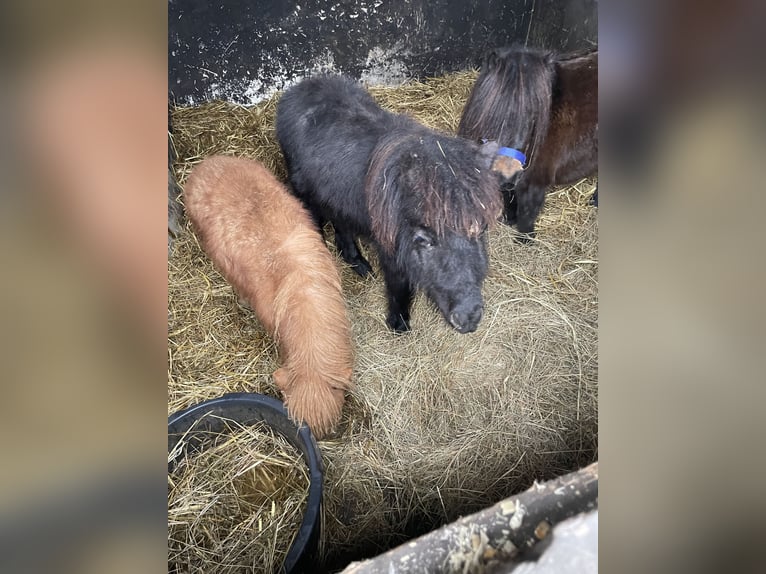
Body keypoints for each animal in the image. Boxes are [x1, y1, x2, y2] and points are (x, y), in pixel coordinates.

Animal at [276, 75, 504, 336]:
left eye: (481, 228)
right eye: (425, 240)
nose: (468, 318)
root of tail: (299, 89)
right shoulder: (390, 253)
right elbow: (399, 286)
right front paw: (400, 326)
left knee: (341, 226)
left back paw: (362, 267)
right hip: (302, 191)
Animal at [456, 45, 600, 241]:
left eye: (534, 116)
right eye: (495, 111)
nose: (508, 172)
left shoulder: (535, 183)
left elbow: (527, 213)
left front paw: (525, 239)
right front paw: (509, 218)